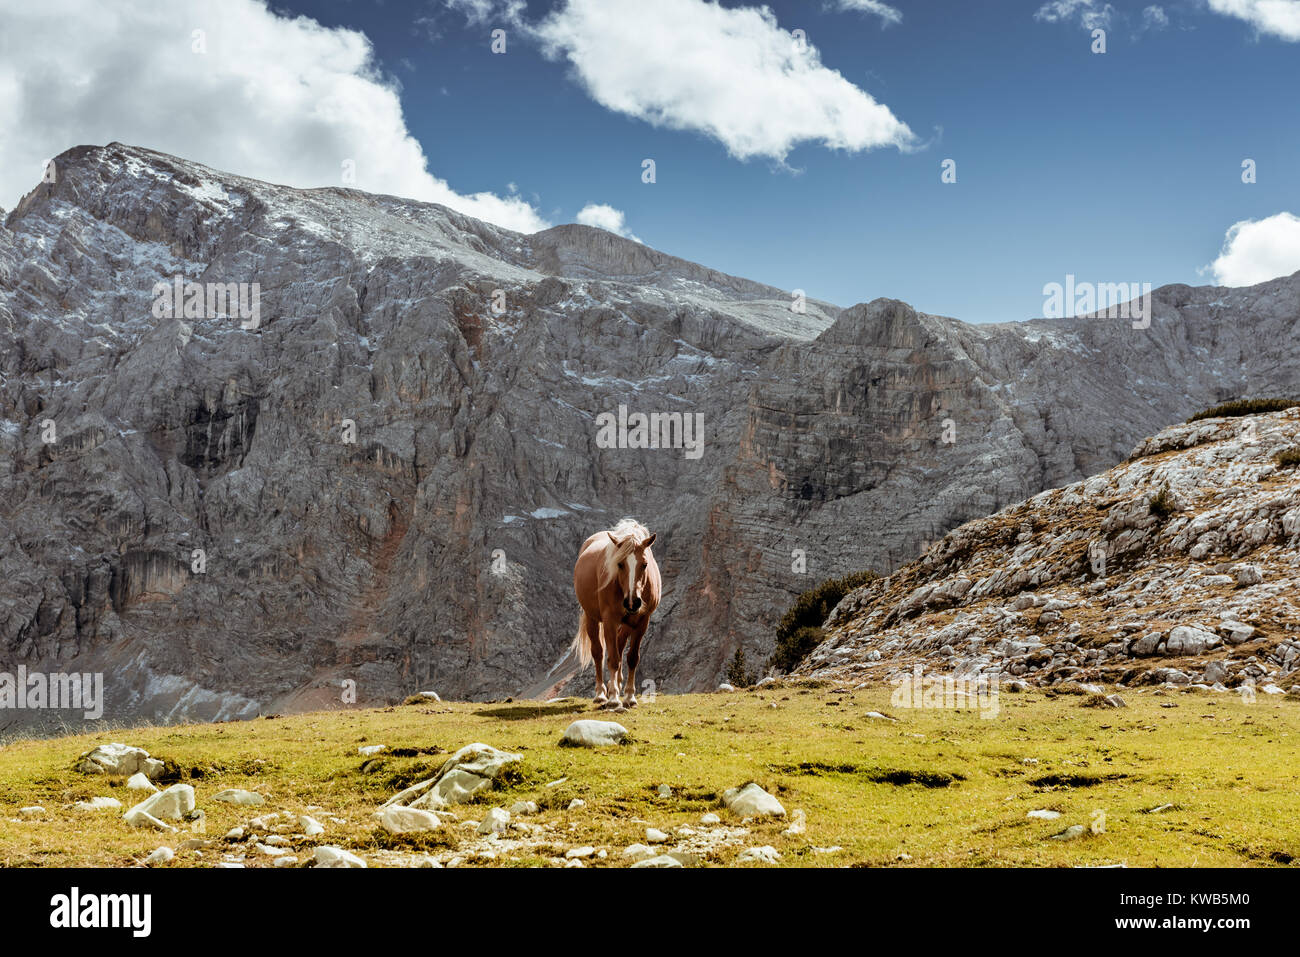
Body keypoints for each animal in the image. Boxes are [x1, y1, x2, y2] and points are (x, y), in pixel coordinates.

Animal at [569, 514, 660, 712]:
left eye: (644, 564)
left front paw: (629, 697)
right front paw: (613, 699)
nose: (633, 602)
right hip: (592, 619)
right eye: (620, 564)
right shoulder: (609, 621)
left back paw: (615, 685)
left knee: (619, 645)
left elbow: (632, 658)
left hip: (626, 623)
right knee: (599, 653)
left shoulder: (642, 622)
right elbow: (613, 659)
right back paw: (601, 694)